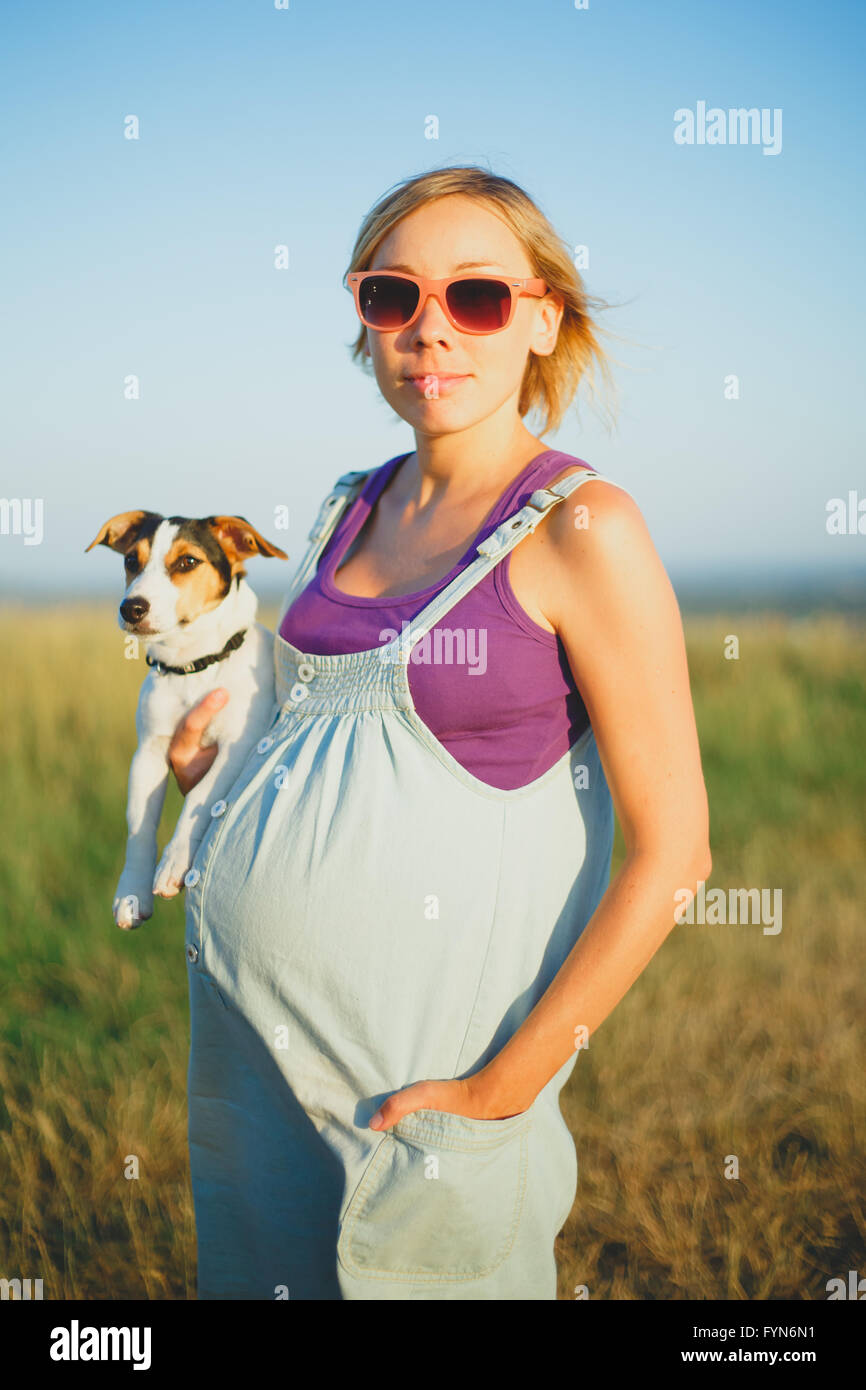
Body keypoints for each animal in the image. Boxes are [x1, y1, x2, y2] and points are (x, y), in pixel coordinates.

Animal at [86, 505, 287, 928]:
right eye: (131, 561)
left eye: (187, 562)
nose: (131, 607)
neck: (193, 665)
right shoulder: (148, 752)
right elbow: (139, 825)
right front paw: (131, 891)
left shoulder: (238, 746)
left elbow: (200, 795)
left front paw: (174, 862)